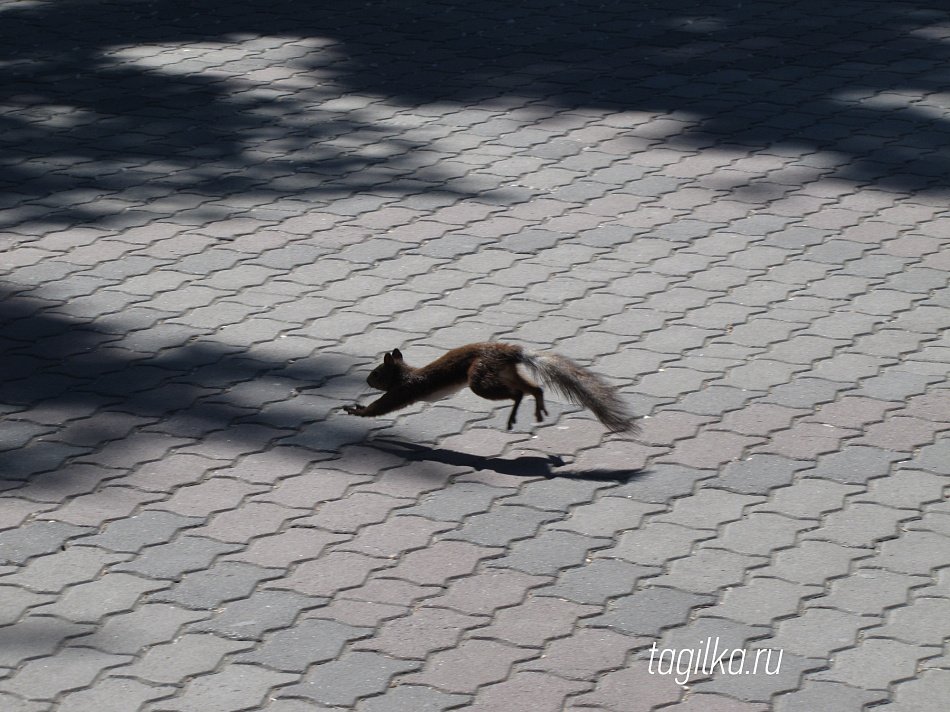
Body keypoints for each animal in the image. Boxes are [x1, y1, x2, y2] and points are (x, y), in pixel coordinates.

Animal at [342, 340, 640, 434]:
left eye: (376, 373)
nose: (367, 381)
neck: (404, 375)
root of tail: (509, 352)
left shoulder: (403, 392)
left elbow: (380, 407)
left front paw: (357, 410)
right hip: (504, 374)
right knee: (534, 388)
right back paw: (538, 409)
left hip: (481, 378)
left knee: (517, 393)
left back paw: (514, 416)